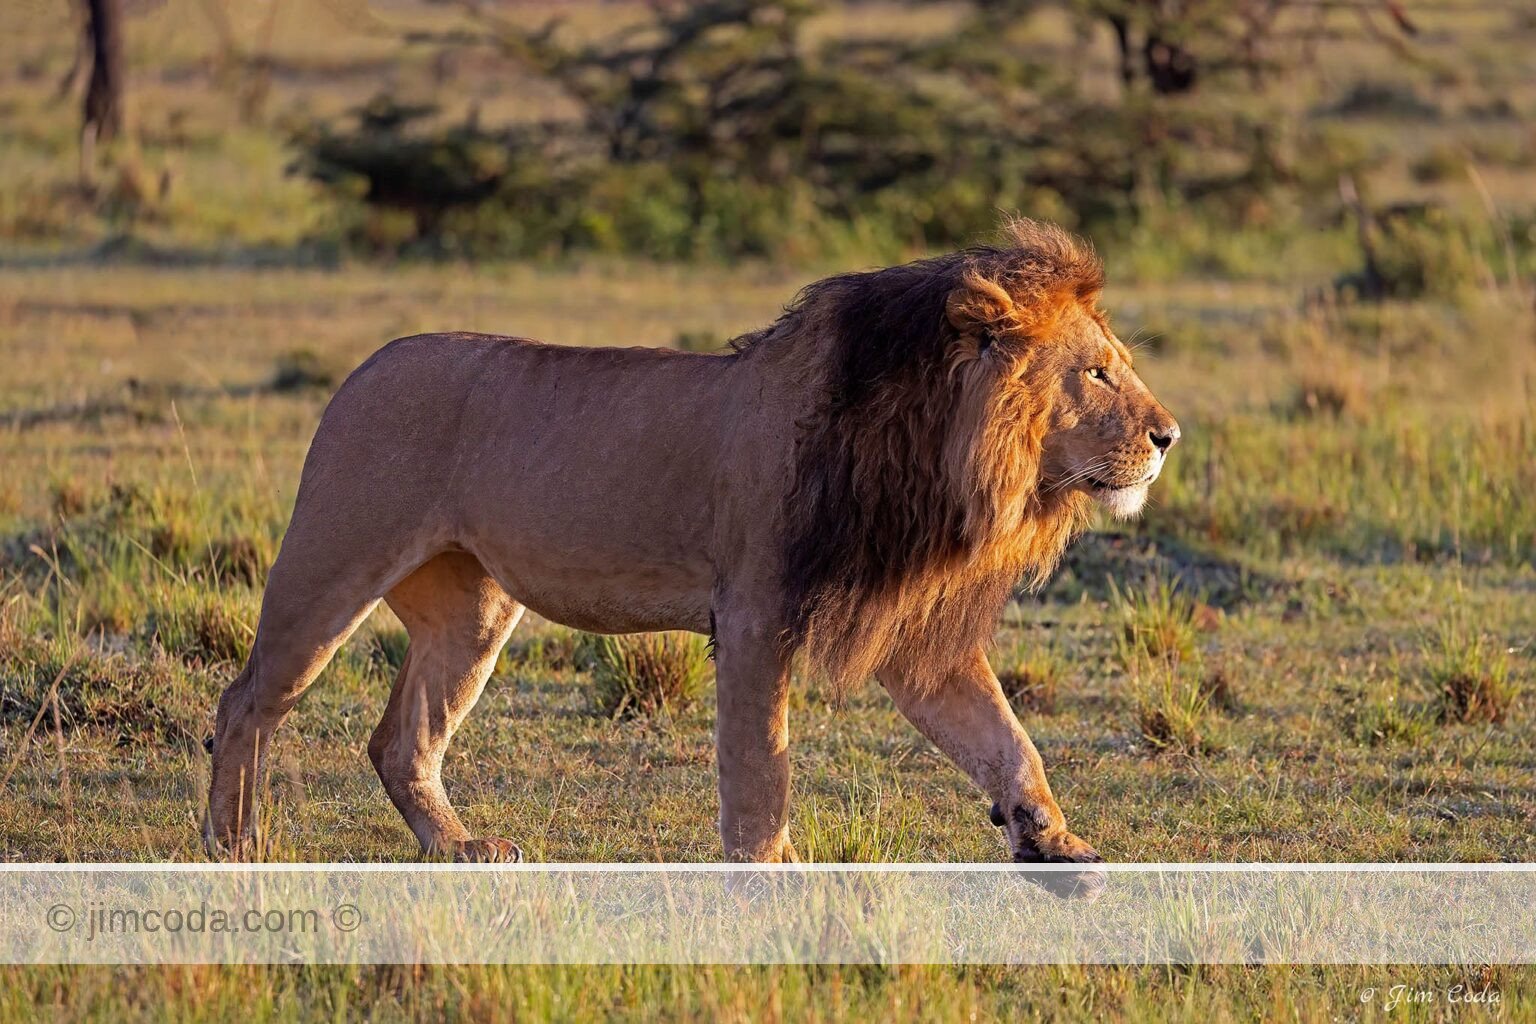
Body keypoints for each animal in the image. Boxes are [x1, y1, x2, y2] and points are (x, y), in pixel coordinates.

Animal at [205, 219, 1179, 890]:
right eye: (1096, 372)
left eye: (1118, 363)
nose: (1169, 435)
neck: (938, 453)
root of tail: (368, 363)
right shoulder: (752, 613)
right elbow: (759, 763)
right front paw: (770, 873)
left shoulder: (907, 630)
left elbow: (1005, 739)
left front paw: (1053, 842)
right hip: (331, 564)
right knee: (246, 699)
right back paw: (235, 845)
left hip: (473, 609)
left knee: (399, 740)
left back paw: (460, 849)